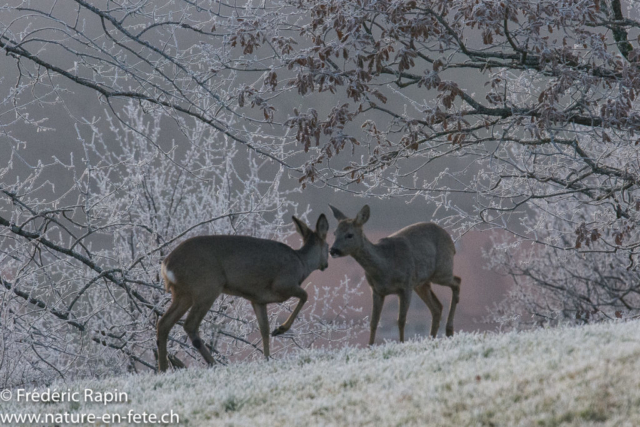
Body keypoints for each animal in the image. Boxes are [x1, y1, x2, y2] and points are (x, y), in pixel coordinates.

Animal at [156, 216, 330, 372]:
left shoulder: (257, 299)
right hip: (206, 288)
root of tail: (166, 266)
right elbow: (305, 296)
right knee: (189, 325)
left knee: (164, 324)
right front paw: (280, 329)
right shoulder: (284, 284)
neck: (301, 265)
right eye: (328, 247)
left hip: (183, 294)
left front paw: (267, 359)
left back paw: (163, 369)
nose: (326, 265)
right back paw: (215, 364)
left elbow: (264, 329)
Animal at [330, 206, 460, 346]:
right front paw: (369, 346)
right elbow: (374, 322)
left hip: (442, 270)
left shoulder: (406, 286)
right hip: (422, 283)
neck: (386, 267)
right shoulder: (376, 290)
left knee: (457, 282)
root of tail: (452, 243)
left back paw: (449, 330)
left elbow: (401, 320)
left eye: (349, 234)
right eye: (335, 233)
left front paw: (402, 343)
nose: (333, 250)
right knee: (437, 307)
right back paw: (432, 338)